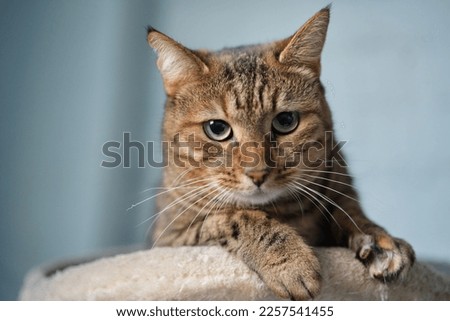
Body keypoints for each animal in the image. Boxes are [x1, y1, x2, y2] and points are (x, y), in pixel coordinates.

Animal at [147, 6, 414, 298]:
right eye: (217, 128)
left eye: (285, 121)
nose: (258, 174)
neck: (281, 211)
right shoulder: (171, 238)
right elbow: (235, 217)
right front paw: (289, 261)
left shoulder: (339, 187)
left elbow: (351, 214)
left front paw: (381, 241)